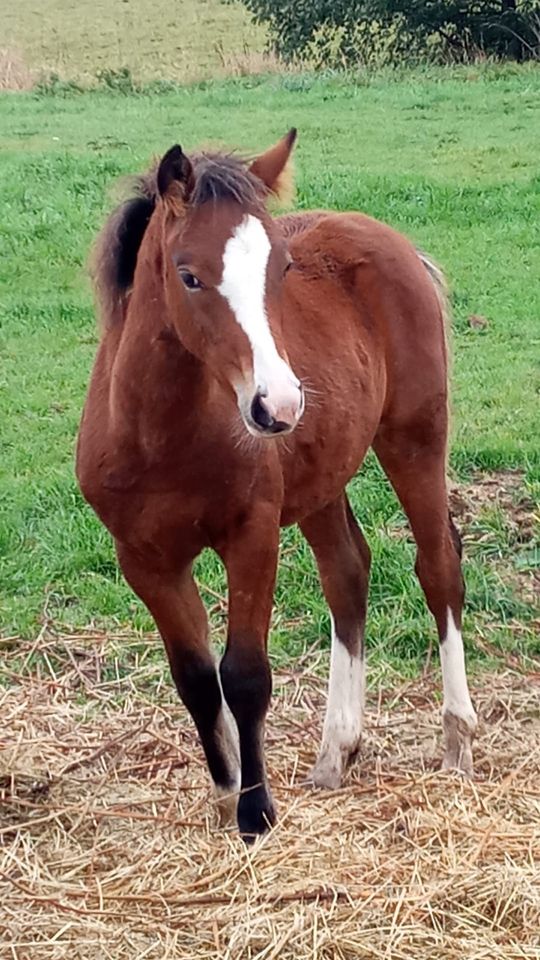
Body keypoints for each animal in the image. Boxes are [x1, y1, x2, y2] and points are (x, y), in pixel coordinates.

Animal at [77, 129, 476, 840]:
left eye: (282, 270)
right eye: (189, 274)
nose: (280, 405)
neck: (159, 436)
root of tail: (393, 242)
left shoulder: (252, 536)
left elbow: (244, 675)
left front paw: (255, 811)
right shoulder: (144, 559)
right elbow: (194, 678)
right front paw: (222, 791)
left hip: (414, 437)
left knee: (438, 565)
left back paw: (457, 734)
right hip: (321, 477)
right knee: (347, 570)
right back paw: (336, 750)